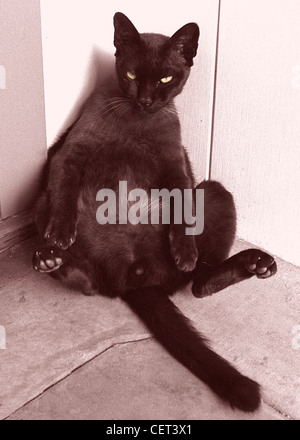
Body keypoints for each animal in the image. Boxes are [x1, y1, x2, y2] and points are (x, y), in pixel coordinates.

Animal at [32, 12, 276, 412]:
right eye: (131, 74)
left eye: (165, 79)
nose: (146, 100)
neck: (136, 124)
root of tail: (135, 275)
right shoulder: (71, 154)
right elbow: (66, 194)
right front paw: (62, 233)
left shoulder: (176, 168)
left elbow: (182, 214)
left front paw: (184, 250)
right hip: (42, 204)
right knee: (89, 283)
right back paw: (52, 258)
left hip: (214, 192)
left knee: (197, 282)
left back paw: (250, 263)